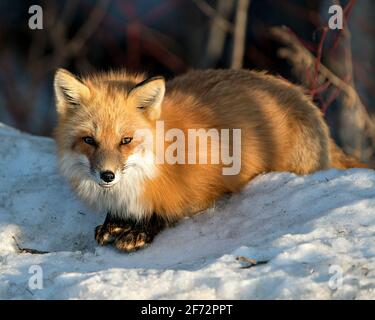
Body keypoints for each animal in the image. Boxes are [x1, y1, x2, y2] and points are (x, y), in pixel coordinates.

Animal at [54, 68, 368, 252]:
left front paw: (139, 231)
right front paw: (114, 223)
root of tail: (303, 96)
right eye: (89, 140)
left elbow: (167, 212)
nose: (107, 176)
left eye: (126, 140)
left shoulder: (203, 187)